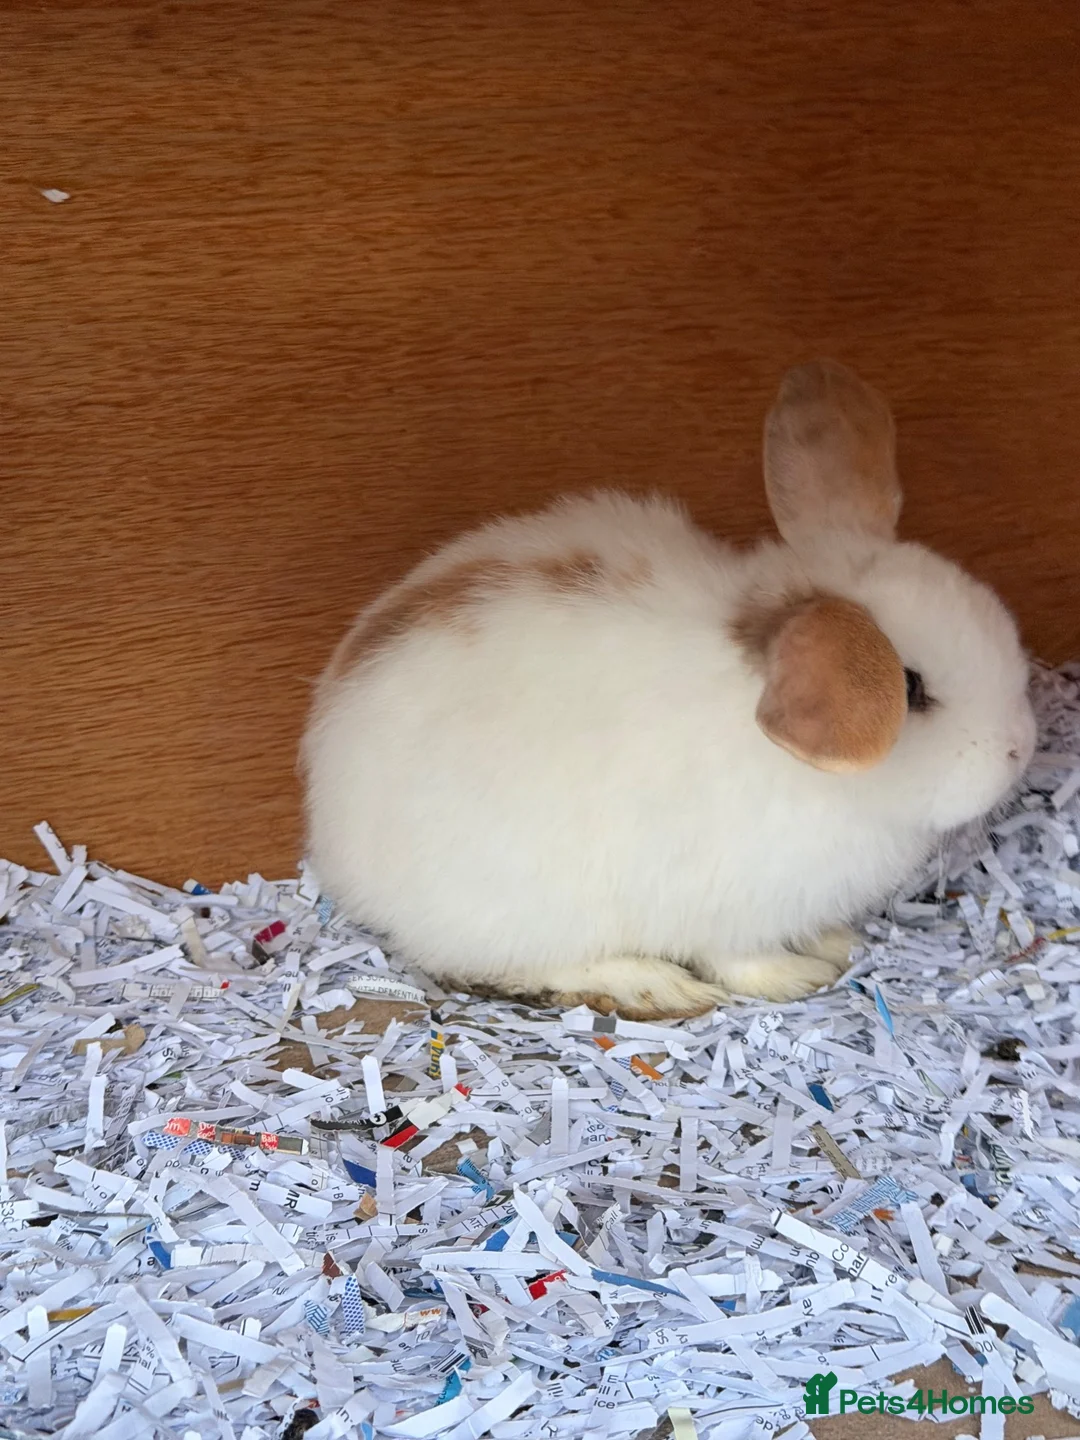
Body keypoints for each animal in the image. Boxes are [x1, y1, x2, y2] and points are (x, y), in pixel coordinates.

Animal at [302, 361, 1036, 1020]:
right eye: (911, 689)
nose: (1019, 749)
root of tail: (334, 843)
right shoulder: (728, 907)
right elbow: (743, 961)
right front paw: (799, 975)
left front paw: (835, 941)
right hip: (529, 910)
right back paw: (652, 987)